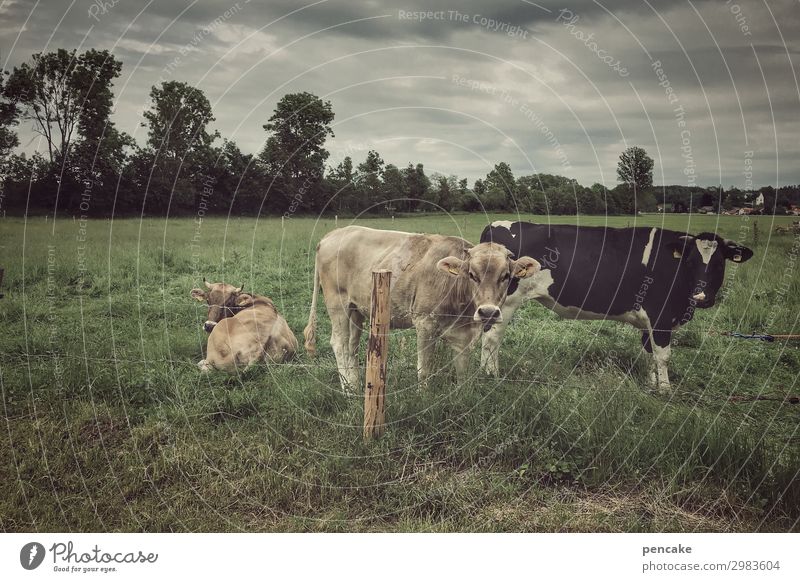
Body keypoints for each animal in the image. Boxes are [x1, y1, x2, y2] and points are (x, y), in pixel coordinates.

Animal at [304, 228, 540, 392]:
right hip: (338, 304)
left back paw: (356, 384)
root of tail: (334, 234)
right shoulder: (425, 322)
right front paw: (423, 395)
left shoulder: (464, 333)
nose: (488, 312)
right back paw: (348, 390)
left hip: (357, 309)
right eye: (472, 275)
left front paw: (463, 396)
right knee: (340, 344)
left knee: (351, 347)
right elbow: (424, 369)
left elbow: (463, 370)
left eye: (506, 276)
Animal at [482, 221, 752, 394]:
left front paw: (651, 385)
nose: (701, 297)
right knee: (492, 336)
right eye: (691, 262)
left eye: (719, 264)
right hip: (506, 301)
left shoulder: (649, 322)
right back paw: (490, 375)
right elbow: (663, 356)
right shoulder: (661, 317)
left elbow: (648, 354)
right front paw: (665, 390)